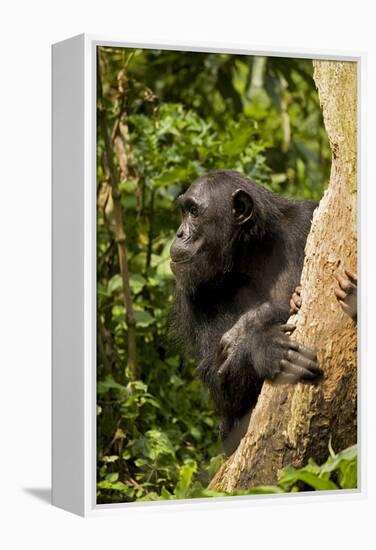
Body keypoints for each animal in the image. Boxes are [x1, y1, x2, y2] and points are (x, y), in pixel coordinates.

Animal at [170, 170, 324, 454]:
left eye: (193, 212)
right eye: (184, 212)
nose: (179, 234)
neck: (248, 255)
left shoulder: (307, 218)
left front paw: (260, 318)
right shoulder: (192, 292)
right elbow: (222, 387)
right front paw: (262, 346)